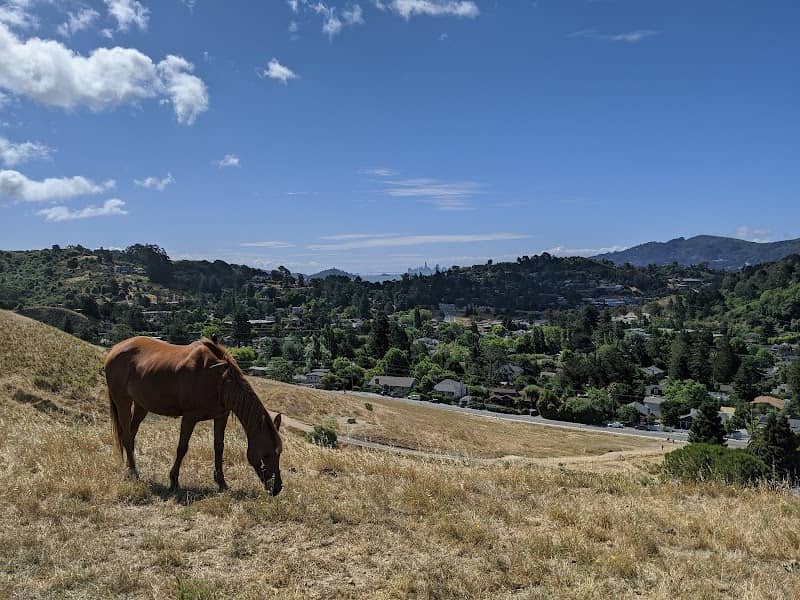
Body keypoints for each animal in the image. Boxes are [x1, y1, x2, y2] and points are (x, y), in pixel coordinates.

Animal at [104, 336, 283, 495]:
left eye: (279, 452)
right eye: (266, 454)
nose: (277, 488)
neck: (219, 379)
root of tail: (114, 349)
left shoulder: (221, 416)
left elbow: (219, 446)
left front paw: (222, 482)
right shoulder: (190, 417)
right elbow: (182, 447)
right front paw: (174, 481)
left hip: (141, 405)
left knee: (131, 434)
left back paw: (130, 468)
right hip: (122, 401)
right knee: (127, 436)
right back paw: (134, 472)